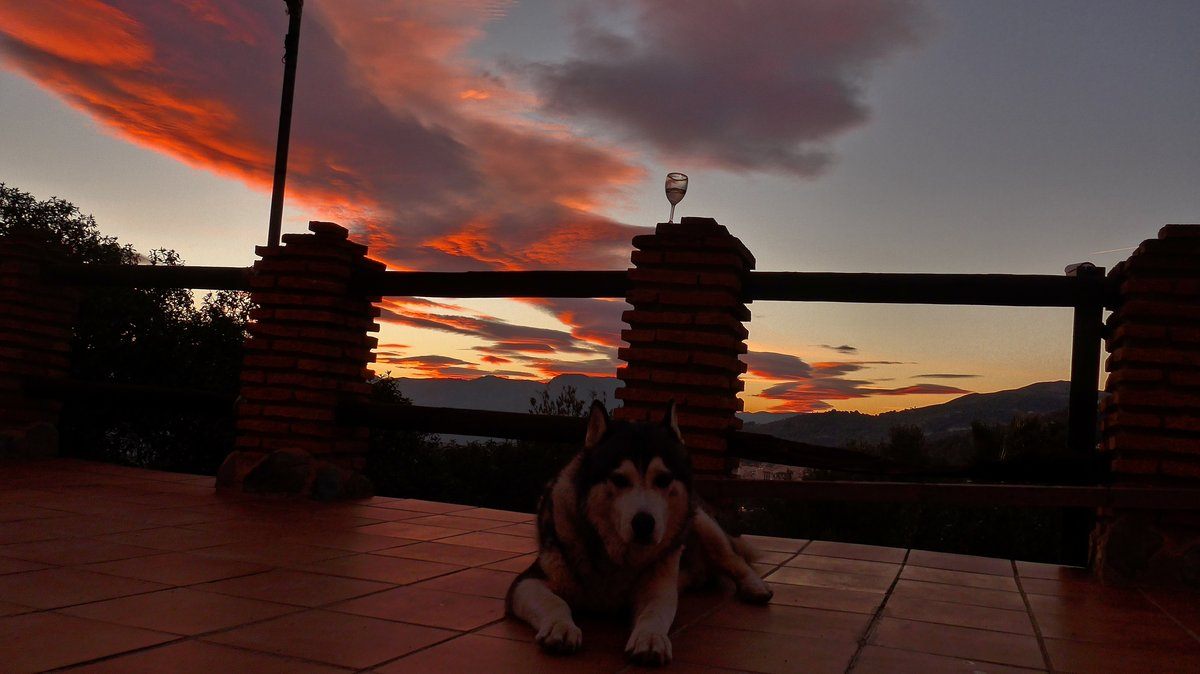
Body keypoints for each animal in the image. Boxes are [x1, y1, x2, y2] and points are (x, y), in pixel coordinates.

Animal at [504, 395, 768, 662]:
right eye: (620, 479)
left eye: (663, 479)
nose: (643, 523)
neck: (615, 557)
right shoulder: (528, 582)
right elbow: (556, 602)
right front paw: (561, 626)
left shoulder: (658, 587)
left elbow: (655, 613)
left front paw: (650, 637)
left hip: (701, 523)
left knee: (734, 558)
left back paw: (756, 587)